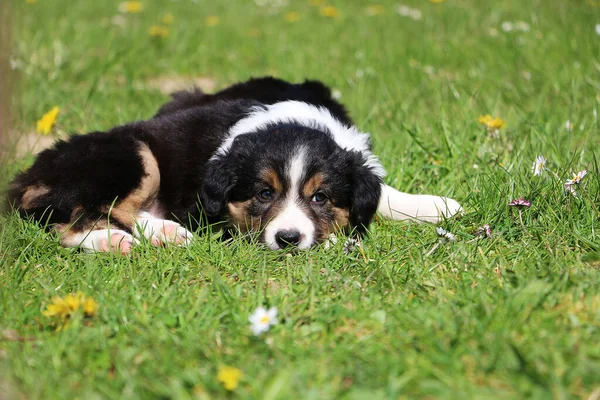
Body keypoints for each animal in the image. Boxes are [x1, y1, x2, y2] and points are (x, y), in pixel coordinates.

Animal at [7, 77, 462, 253]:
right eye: (263, 193)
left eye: (320, 197)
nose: (288, 239)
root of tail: (27, 176)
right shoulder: (220, 215)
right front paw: (332, 241)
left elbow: (381, 190)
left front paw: (437, 206)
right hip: (134, 152)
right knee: (78, 216)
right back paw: (125, 239)